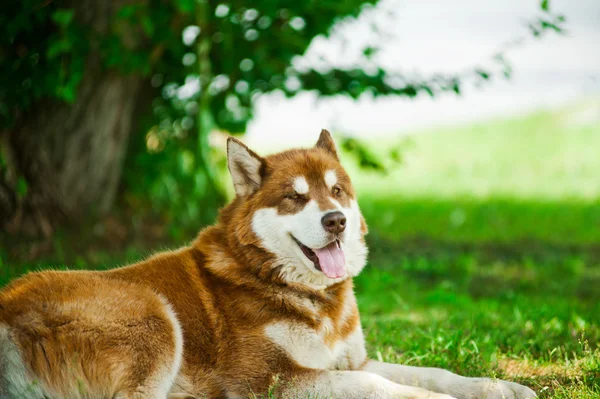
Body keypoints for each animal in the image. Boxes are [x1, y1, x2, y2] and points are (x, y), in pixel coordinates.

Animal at [0, 131, 536, 399]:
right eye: (295, 198)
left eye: (336, 190)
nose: (336, 220)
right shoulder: (272, 379)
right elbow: (380, 386)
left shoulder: (349, 359)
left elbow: (432, 372)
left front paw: (498, 387)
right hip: (154, 321)